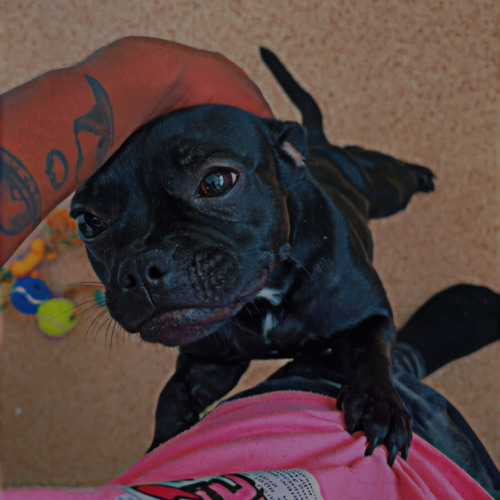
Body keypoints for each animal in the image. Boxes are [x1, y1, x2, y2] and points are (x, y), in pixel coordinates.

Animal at [70, 48, 435, 466]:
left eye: (216, 182)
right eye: (88, 223)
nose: (140, 269)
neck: (266, 299)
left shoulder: (370, 314)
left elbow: (371, 352)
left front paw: (379, 404)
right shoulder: (207, 365)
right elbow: (170, 402)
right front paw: (161, 449)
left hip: (389, 192)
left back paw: (421, 174)